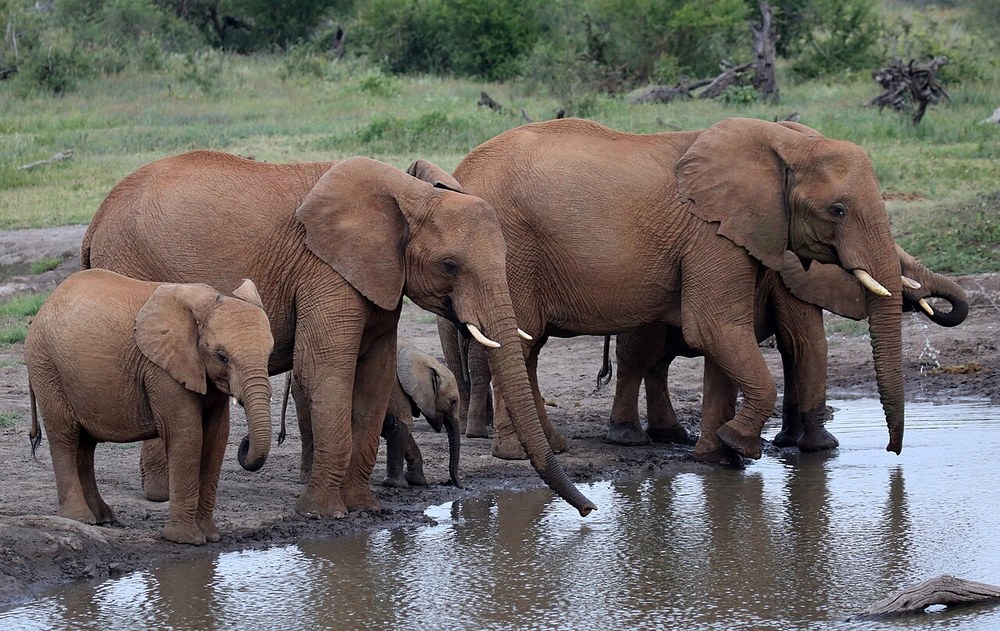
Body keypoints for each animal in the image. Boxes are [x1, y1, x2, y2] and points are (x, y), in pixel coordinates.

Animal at [25, 269, 273, 545]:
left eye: (270, 353)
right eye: (222, 357)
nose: (246, 442)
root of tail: (44, 305)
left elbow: (216, 437)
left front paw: (211, 536)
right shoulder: (161, 369)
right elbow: (187, 435)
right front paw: (186, 540)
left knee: (85, 445)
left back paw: (103, 518)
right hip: (47, 366)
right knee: (65, 437)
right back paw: (81, 519)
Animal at [81, 151, 596, 518]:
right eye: (450, 266)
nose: (590, 510)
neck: (408, 194)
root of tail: (94, 223)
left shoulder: (379, 277)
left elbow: (374, 375)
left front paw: (364, 508)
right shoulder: (326, 270)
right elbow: (326, 367)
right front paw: (325, 514)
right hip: (131, 268)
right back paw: (160, 495)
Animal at [438, 117, 906, 463]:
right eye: (838, 210)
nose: (893, 451)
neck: (783, 142)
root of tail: (457, 174)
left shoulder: (738, 234)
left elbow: (724, 336)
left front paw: (719, 459)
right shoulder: (711, 236)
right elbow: (713, 328)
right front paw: (738, 445)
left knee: (528, 350)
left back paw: (551, 447)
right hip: (507, 250)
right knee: (520, 343)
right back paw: (516, 454)